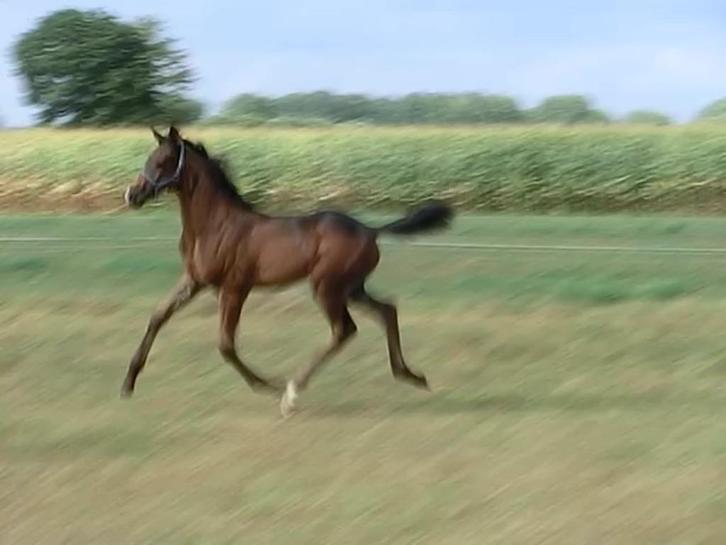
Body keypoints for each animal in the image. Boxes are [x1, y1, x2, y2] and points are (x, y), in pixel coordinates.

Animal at [121, 125, 453, 417]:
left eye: (162, 161)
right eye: (149, 158)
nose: (132, 195)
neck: (215, 225)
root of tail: (371, 230)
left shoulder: (235, 287)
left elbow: (226, 344)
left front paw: (270, 386)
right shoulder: (194, 280)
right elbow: (158, 316)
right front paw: (128, 382)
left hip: (326, 287)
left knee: (344, 330)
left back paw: (291, 393)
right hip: (352, 288)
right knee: (387, 311)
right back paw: (410, 375)